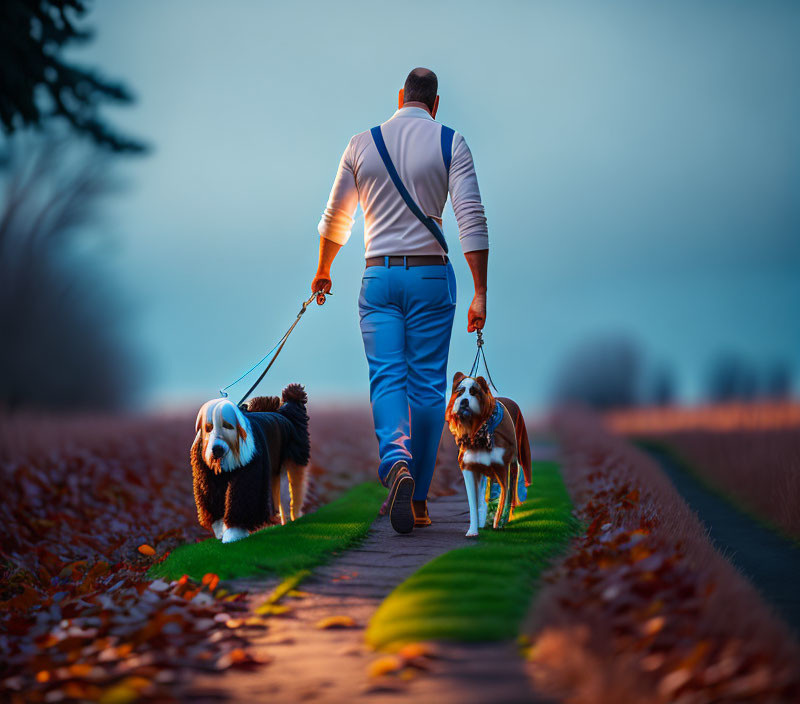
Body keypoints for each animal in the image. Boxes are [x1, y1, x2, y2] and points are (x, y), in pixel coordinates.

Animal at [191, 384, 310, 544]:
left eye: (228, 426)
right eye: (208, 428)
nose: (217, 449)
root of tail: (283, 412)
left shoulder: (250, 474)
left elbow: (240, 504)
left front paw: (232, 535)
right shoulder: (209, 479)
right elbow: (214, 505)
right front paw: (220, 530)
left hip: (292, 463)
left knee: (294, 493)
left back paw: (294, 518)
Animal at [444, 374, 532, 540]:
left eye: (474, 392)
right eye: (460, 392)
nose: (464, 401)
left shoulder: (504, 465)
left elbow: (505, 495)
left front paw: (500, 522)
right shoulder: (468, 468)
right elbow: (473, 502)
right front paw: (472, 530)